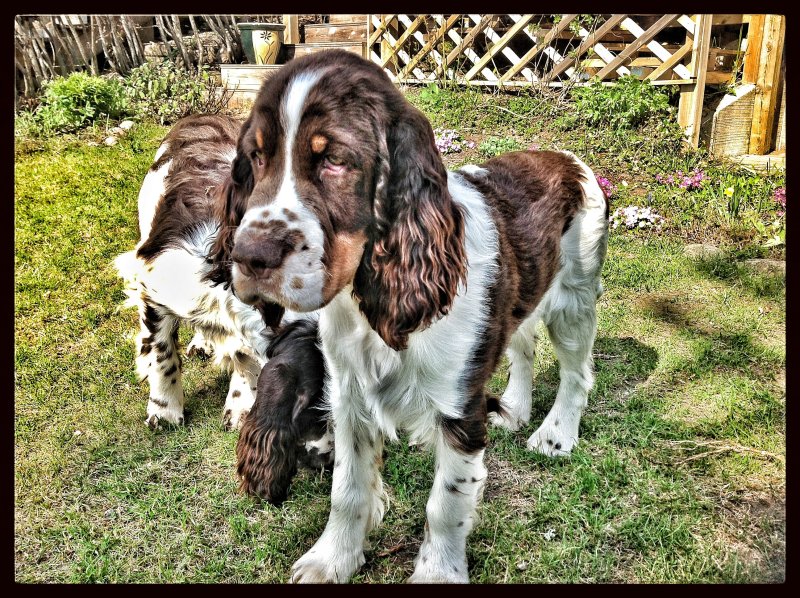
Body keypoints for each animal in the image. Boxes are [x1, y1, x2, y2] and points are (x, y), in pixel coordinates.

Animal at [209, 51, 608, 584]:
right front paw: (331, 559)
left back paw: (556, 434)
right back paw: (516, 411)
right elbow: (347, 489)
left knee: (577, 373)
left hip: (574, 298)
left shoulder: (458, 409)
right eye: (255, 157)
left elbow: (446, 504)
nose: (248, 256)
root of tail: (568, 160)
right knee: (523, 346)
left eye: (335, 160)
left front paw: (437, 572)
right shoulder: (349, 397)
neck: (373, 308)